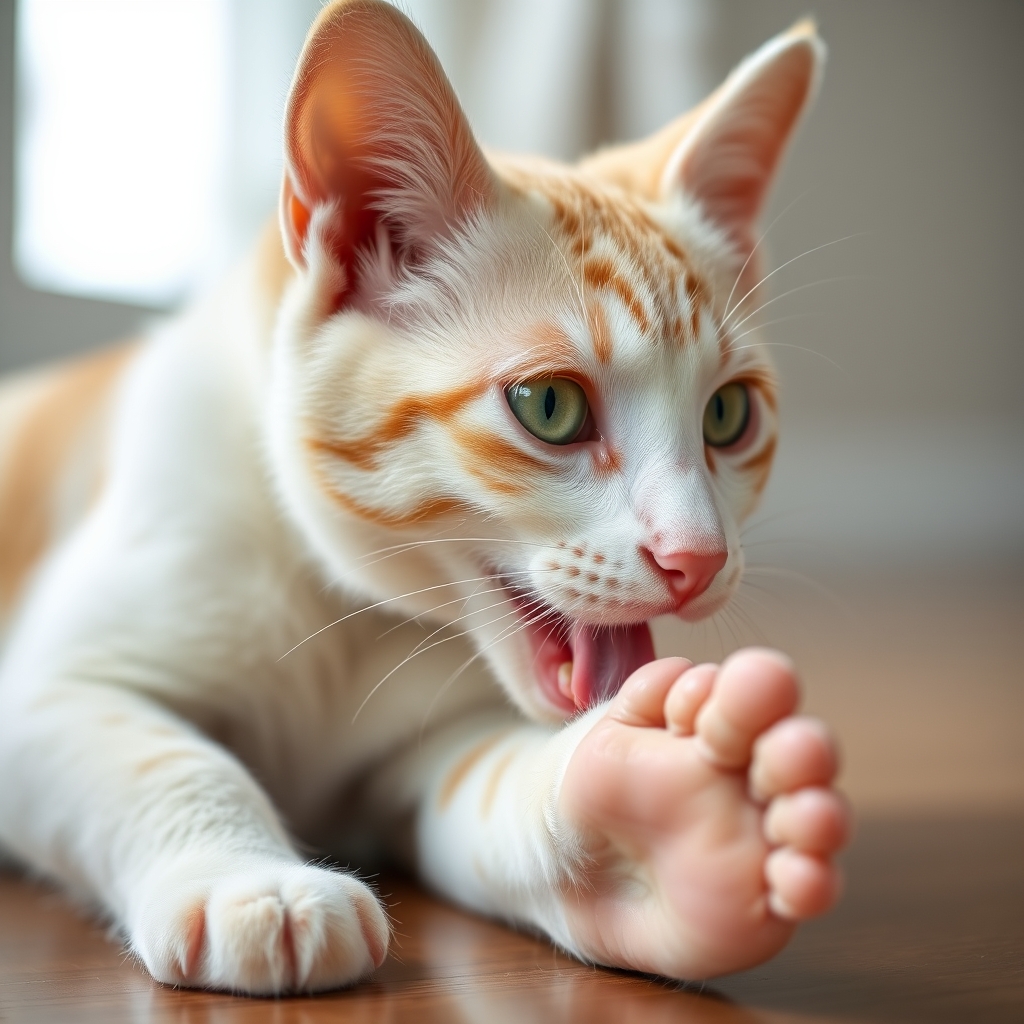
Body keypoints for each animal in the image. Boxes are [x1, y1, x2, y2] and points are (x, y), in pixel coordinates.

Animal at [0, 0, 847, 991]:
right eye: (549, 406)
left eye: (727, 415)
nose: (698, 558)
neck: (344, 614)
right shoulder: (46, 690)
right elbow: (162, 759)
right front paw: (253, 882)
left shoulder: (418, 753)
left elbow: (493, 782)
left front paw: (661, 824)